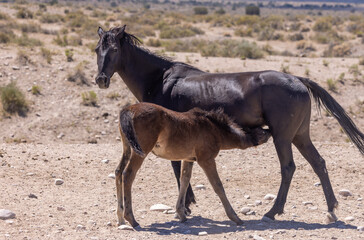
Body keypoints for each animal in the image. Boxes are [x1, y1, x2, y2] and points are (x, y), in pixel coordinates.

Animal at [116, 102, 270, 227]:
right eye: (261, 130)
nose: (269, 131)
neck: (215, 130)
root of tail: (129, 109)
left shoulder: (188, 159)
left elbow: (184, 180)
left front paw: (182, 214)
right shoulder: (206, 159)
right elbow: (218, 186)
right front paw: (235, 218)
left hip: (127, 148)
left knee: (118, 172)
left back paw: (120, 218)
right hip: (140, 151)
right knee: (128, 174)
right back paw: (131, 219)